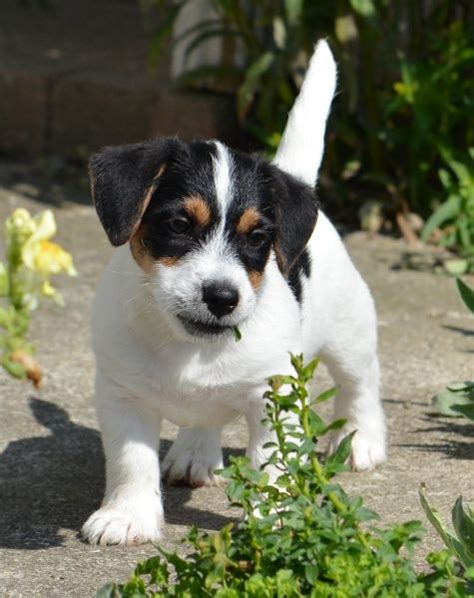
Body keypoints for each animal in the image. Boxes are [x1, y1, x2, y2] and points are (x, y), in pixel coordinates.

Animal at [81, 41, 386, 548]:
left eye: (258, 237)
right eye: (179, 224)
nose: (222, 297)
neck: (187, 347)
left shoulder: (274, 397)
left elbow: (274, 466)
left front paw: (274, 520)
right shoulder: (122, 395)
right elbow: (131, 461)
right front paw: (127, 516)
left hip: (350, 333)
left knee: (360, 384)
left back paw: (361, 440)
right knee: (206, 415)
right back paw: (194, 453)